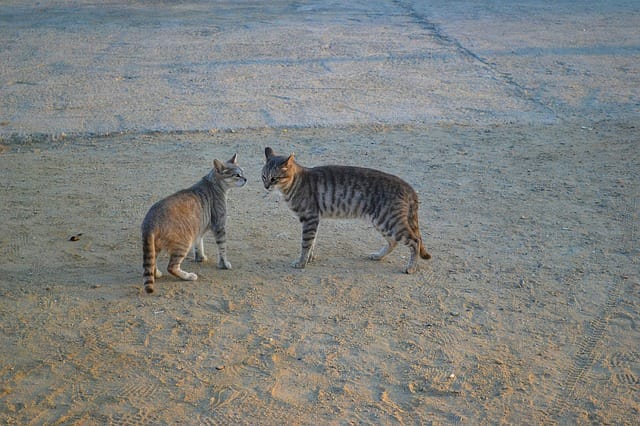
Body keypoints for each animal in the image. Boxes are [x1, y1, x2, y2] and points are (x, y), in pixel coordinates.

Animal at [141, 155, 246, 294]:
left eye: (243, 172)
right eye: (237, 175)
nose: (246, 179)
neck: (213, 184)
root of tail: (150, 221)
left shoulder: (198, 229)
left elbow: (199, 245)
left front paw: (201, 258)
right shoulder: (219, 225)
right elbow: (222, 248)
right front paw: (224, 264)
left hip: (155, 245)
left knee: (152, 262)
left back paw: (156, 273)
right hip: (184, 242)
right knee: (171, 267)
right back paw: (188, 276)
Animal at [262, 146, 432, 272]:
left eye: (274, 178)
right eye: (263, 176)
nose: (266, 186)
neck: (295, 183)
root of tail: (408, 186)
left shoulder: (310, 218)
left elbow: (306, 243)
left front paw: (301, 262)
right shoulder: (314, 219)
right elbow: (313, 242)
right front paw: (309, 258)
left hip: (389, 221)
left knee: (415, 241)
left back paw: (411, 267)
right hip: (383, 222)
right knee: (393, 242)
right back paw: (378, 256)